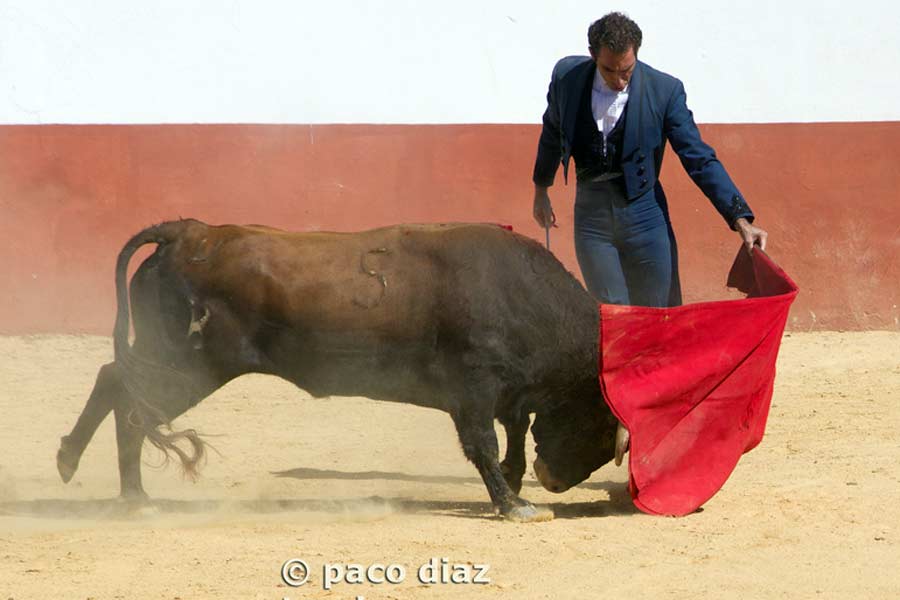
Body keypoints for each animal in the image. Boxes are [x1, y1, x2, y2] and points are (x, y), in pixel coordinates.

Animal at [56, 219, 624, 520]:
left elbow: (514, 434)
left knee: (116, 382)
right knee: (128, 397)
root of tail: (187, 232)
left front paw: (516, 488)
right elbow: (485, 445)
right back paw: (123, 490)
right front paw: (514, 506)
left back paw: (103, 478)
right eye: (600, 425)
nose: (555, 482)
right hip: (185, 366)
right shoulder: (475, 393)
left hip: (174, 361)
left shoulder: (505, 395)